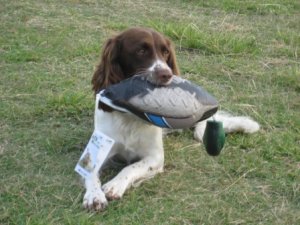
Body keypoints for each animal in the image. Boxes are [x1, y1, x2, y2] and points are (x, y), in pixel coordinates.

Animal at [82, 27, 260, 211]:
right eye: (141, 51)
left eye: (165, 52)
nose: (166, 74)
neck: (130, 117)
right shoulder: (100, 145)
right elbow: (90, 170)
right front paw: (94, 195)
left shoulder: (155, 157)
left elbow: (131, 167)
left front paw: (115, 185)